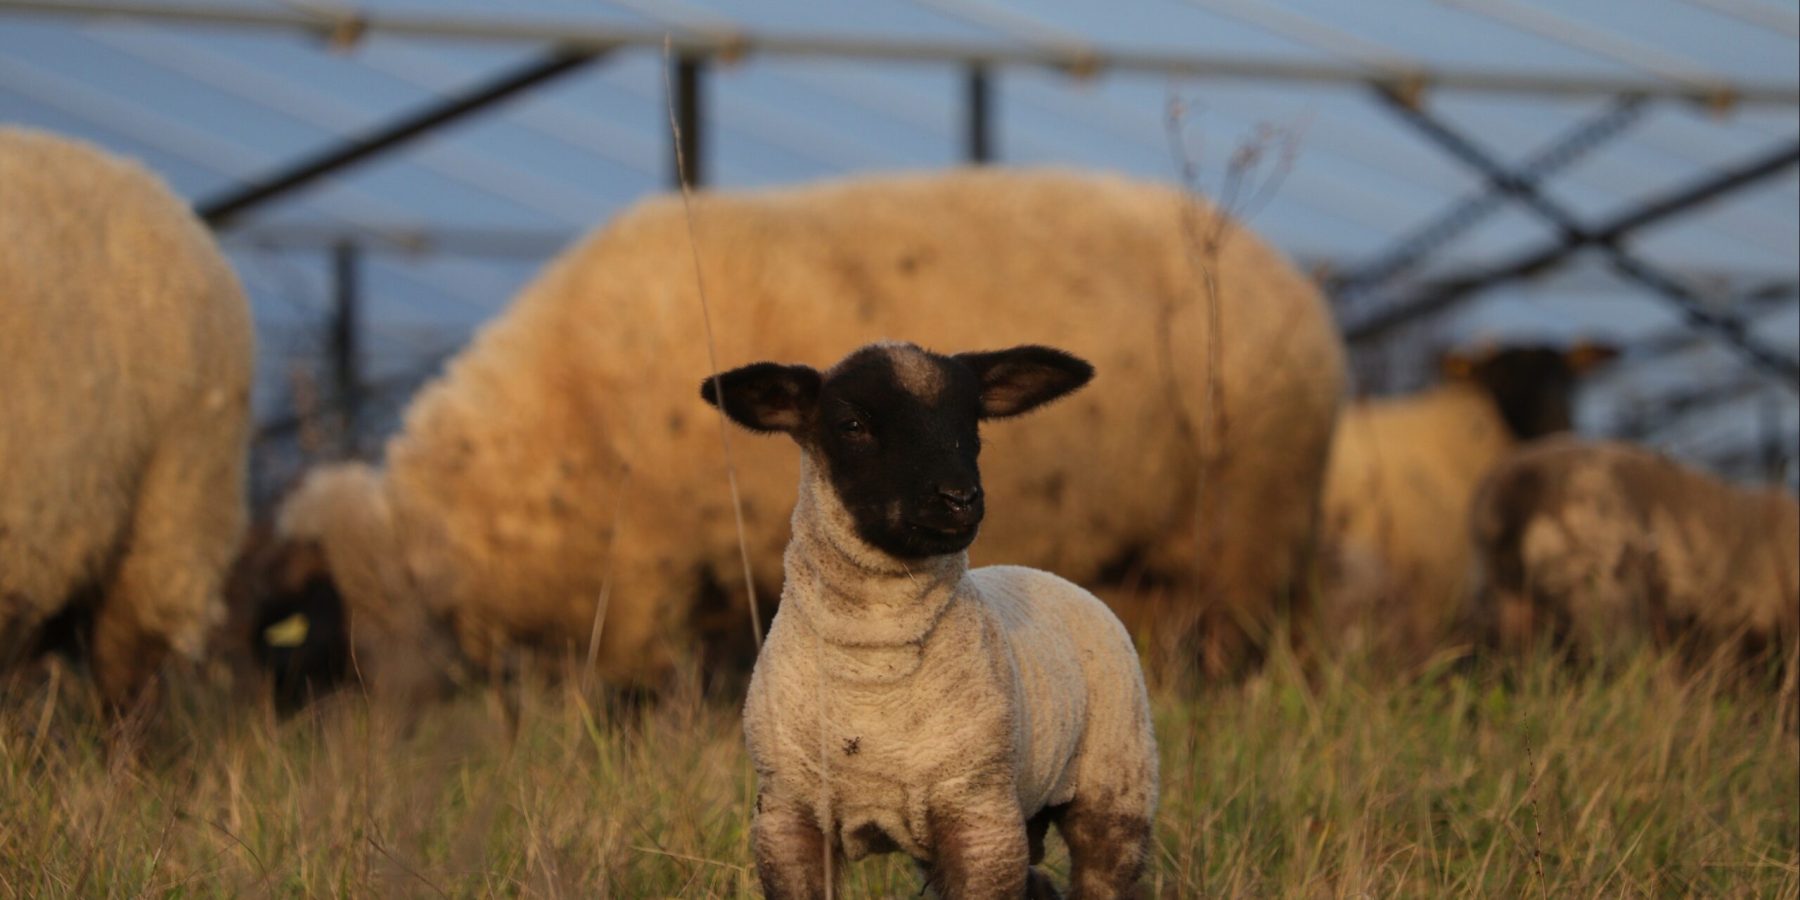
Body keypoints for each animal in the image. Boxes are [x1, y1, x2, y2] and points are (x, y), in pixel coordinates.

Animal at [251, 167, 1344, 700]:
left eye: (299, 614)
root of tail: (1290, 282)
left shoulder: (641, 586)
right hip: (1148, 564)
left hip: (1244, 525)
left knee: (1230, 652)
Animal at [709, 340, 1157, 898]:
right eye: (852, 424)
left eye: (973, 423)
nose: (959, 498)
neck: (873, 665)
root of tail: (1046, 572)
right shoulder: (788, 819)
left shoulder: (979, 818)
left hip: (1115, 786)